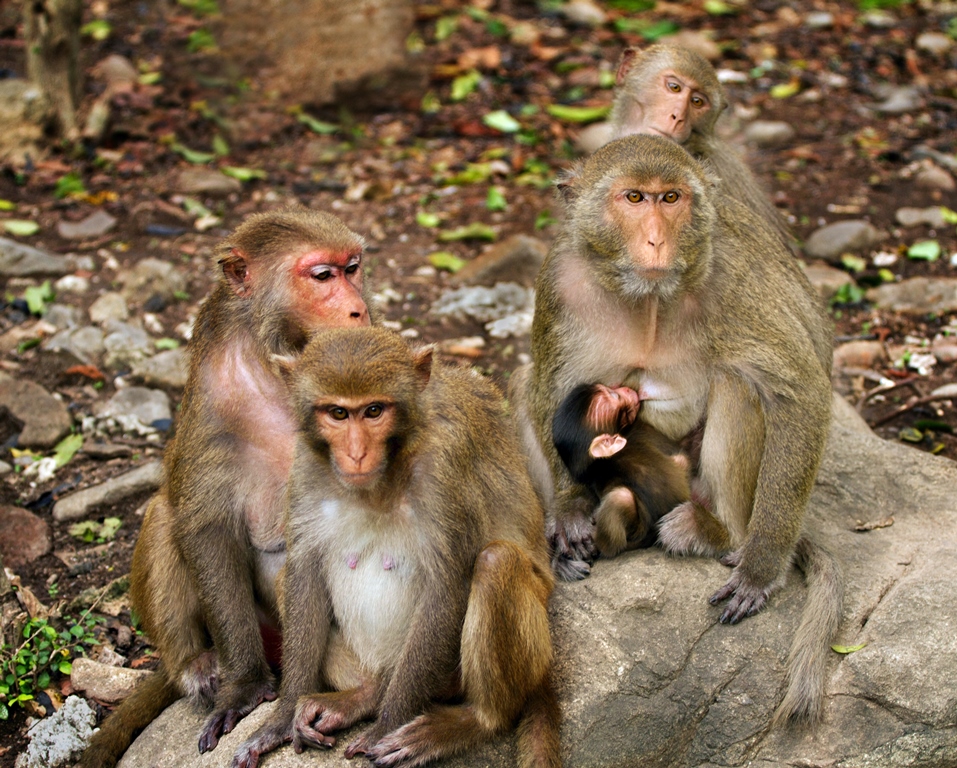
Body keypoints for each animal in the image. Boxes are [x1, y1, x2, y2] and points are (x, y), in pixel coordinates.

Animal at [78, 208, 373, 768]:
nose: (359, 310)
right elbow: (206, 527)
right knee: (164, 513)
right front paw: (246, 687)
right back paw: (195, 664)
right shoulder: (214, 398)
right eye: (323, 276)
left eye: (353, 268)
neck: (277, 359)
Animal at [231, 326, 560, 768]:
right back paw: (365, 695)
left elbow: (447, 586)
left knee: (497, 562)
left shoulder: (445, 468)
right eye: (338, 414)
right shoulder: (306, 466)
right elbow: (303, 574)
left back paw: (473, 721)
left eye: (373, 411)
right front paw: (279, 720)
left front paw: (387, 724)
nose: (356, 453)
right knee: (287, 578)